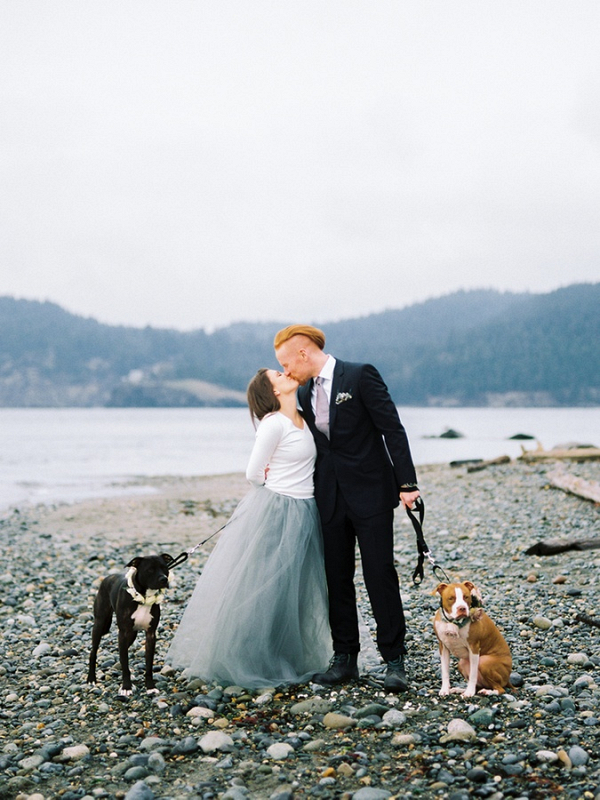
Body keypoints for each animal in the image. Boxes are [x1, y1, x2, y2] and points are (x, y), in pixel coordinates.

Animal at [88, 552, 175, 696]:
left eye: (165, 568)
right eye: (150, 570)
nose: (164, 579)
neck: (144, 598)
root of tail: (108, 577)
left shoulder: (150, 635)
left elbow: (148, 665)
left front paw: (150, 687)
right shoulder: (123, 633)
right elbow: (125, 663)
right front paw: (126, 687)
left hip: (131, 634)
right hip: (99, 625)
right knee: (93, 652)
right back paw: (91, 679)